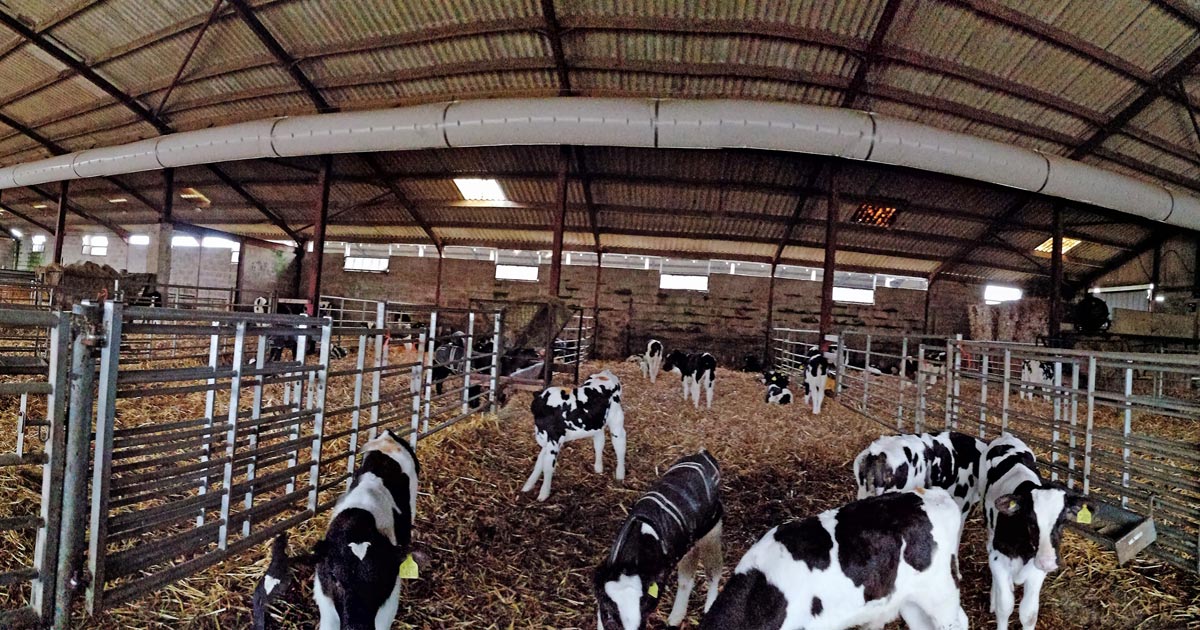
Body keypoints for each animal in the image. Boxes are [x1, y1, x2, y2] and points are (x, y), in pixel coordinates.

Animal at [520, 369, 624, 501]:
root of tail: (605, 373)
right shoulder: (547, 441)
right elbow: (539, 462)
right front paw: (528, 485)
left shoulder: (553, 440)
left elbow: (548, 466)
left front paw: (543, 494)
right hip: (596, 423)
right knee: (599, 442)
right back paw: (598, 468)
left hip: (616, 420)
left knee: (620, 443)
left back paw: (620, 474)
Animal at [597, 448, 724, 624]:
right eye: (610, 611)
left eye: (643, 607)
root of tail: (703, 454)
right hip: (689, 541)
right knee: (687, 576)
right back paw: (675, 618)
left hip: (712, 532)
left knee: (714, 572)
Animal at [984, 432, 1089, 628]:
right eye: (1030, 520)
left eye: (1062, 521)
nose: (1048, 562)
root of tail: (1007, 436)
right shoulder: (998, 559)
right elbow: (1005, 606)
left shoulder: (1036, 571)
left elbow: (1029, 613)